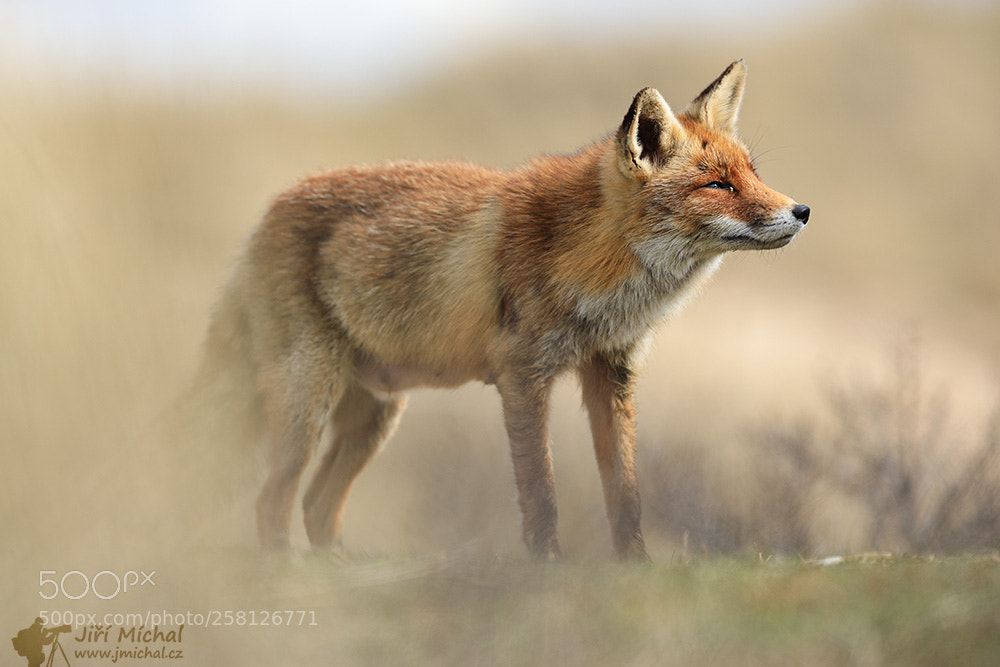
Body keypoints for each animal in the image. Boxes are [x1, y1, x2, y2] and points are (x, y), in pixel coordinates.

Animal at [199, 60, 808, 561]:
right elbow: (540, 492)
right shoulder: (522, 376)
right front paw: (548, 569)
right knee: (271, 500)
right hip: (309, 402)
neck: (592, 265)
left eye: (751, 173)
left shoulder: (611, 372)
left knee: (316, 505)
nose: (801, 211)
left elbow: (625, 492)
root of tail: (264, 217)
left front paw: (635, 568)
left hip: (376, 413)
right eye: (718, 185)